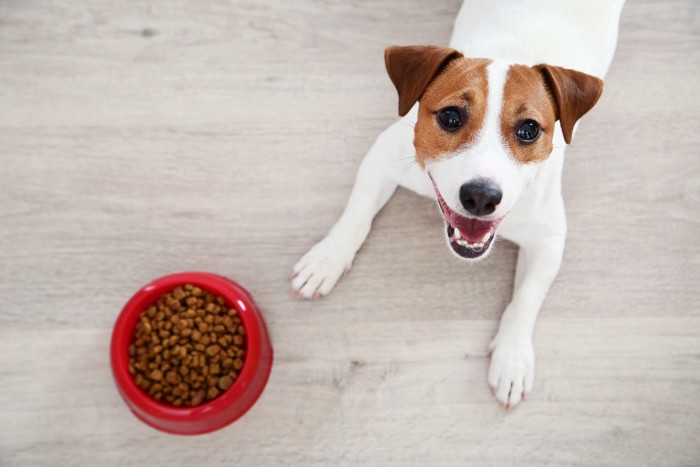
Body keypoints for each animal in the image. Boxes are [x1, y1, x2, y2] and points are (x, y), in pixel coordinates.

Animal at [288, 0, 624, 408]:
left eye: (529, 129)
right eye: (450, 116)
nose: (481, 196)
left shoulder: (549, 239)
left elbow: (527, 298)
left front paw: (512, 357)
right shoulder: (384, 155)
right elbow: (356, 214)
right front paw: (327, 259)